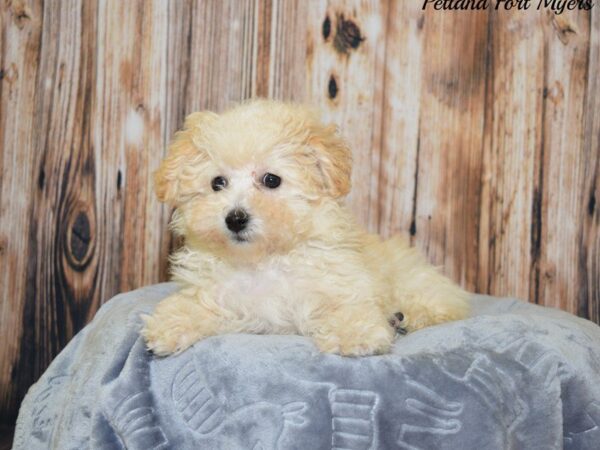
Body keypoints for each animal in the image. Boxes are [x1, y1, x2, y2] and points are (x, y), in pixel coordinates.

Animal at [141, 100, 468, 356]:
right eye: (217, 183)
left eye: (271, 180)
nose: (235, 219)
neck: (263, 261)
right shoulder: (221, 296)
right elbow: (195, 305)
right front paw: (168, 325)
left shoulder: (340, 282)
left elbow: (348, 306)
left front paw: (355, 335)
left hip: (415, 282)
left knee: (442, 303)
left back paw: (409, 317)